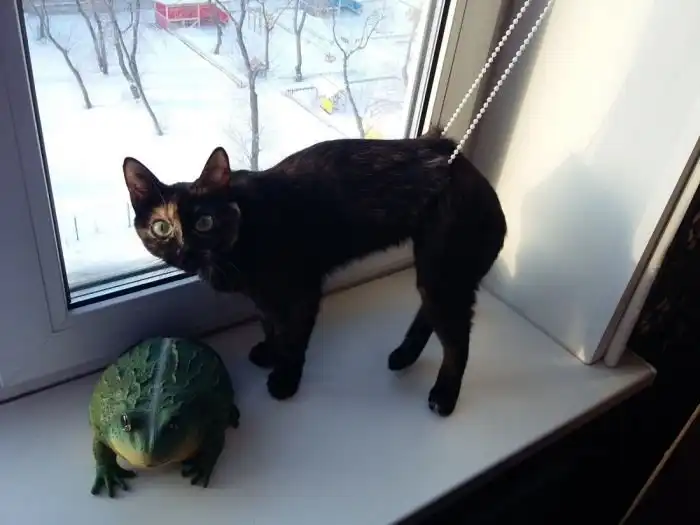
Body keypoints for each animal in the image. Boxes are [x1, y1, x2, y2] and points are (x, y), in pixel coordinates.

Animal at [122, 128, 507, 417]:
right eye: (161, 227)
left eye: (204, 222)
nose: (184, 250)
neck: (242, 232)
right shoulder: (265, 296)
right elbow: (271, 324)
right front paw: (269, 352)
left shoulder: (301, 292)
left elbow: (293, 338)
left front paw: (285, 379)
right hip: (436, 272)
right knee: (430, 313)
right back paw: (404, 356)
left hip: (444, 271)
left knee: (458, 340)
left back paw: (444, 395)